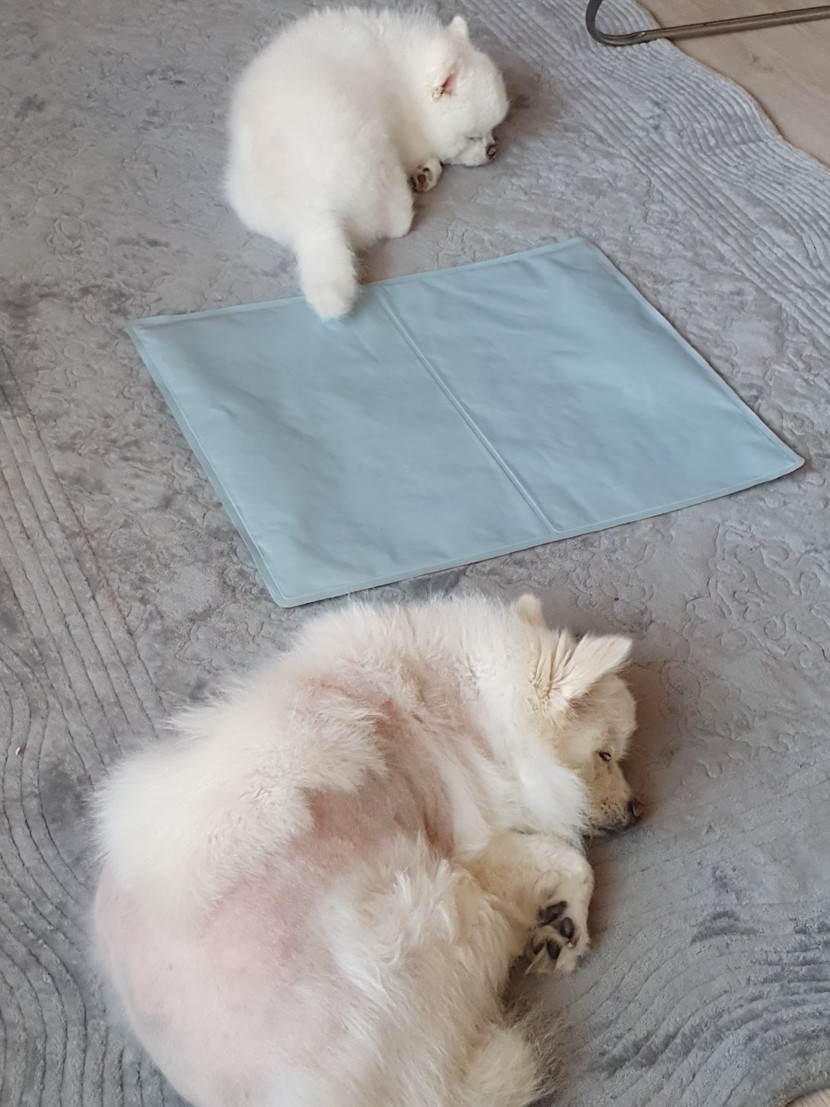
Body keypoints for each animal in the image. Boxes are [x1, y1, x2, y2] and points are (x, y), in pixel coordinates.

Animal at [93, 593, 641, 1106]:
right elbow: (574, 861)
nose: (638, 809)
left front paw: (562, 925)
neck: (466, 701)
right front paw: (567, 925)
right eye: (605, 755)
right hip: (443, 896)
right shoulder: (473, 846)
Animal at [224, 8, 509, 320]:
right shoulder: (406, 131)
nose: (493, 150)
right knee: (397, 224)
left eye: (493, 130)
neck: (406, 74)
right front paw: (428, 169)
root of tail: (312, 212)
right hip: (377, 160)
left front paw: (426, 172)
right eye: (473, 137)